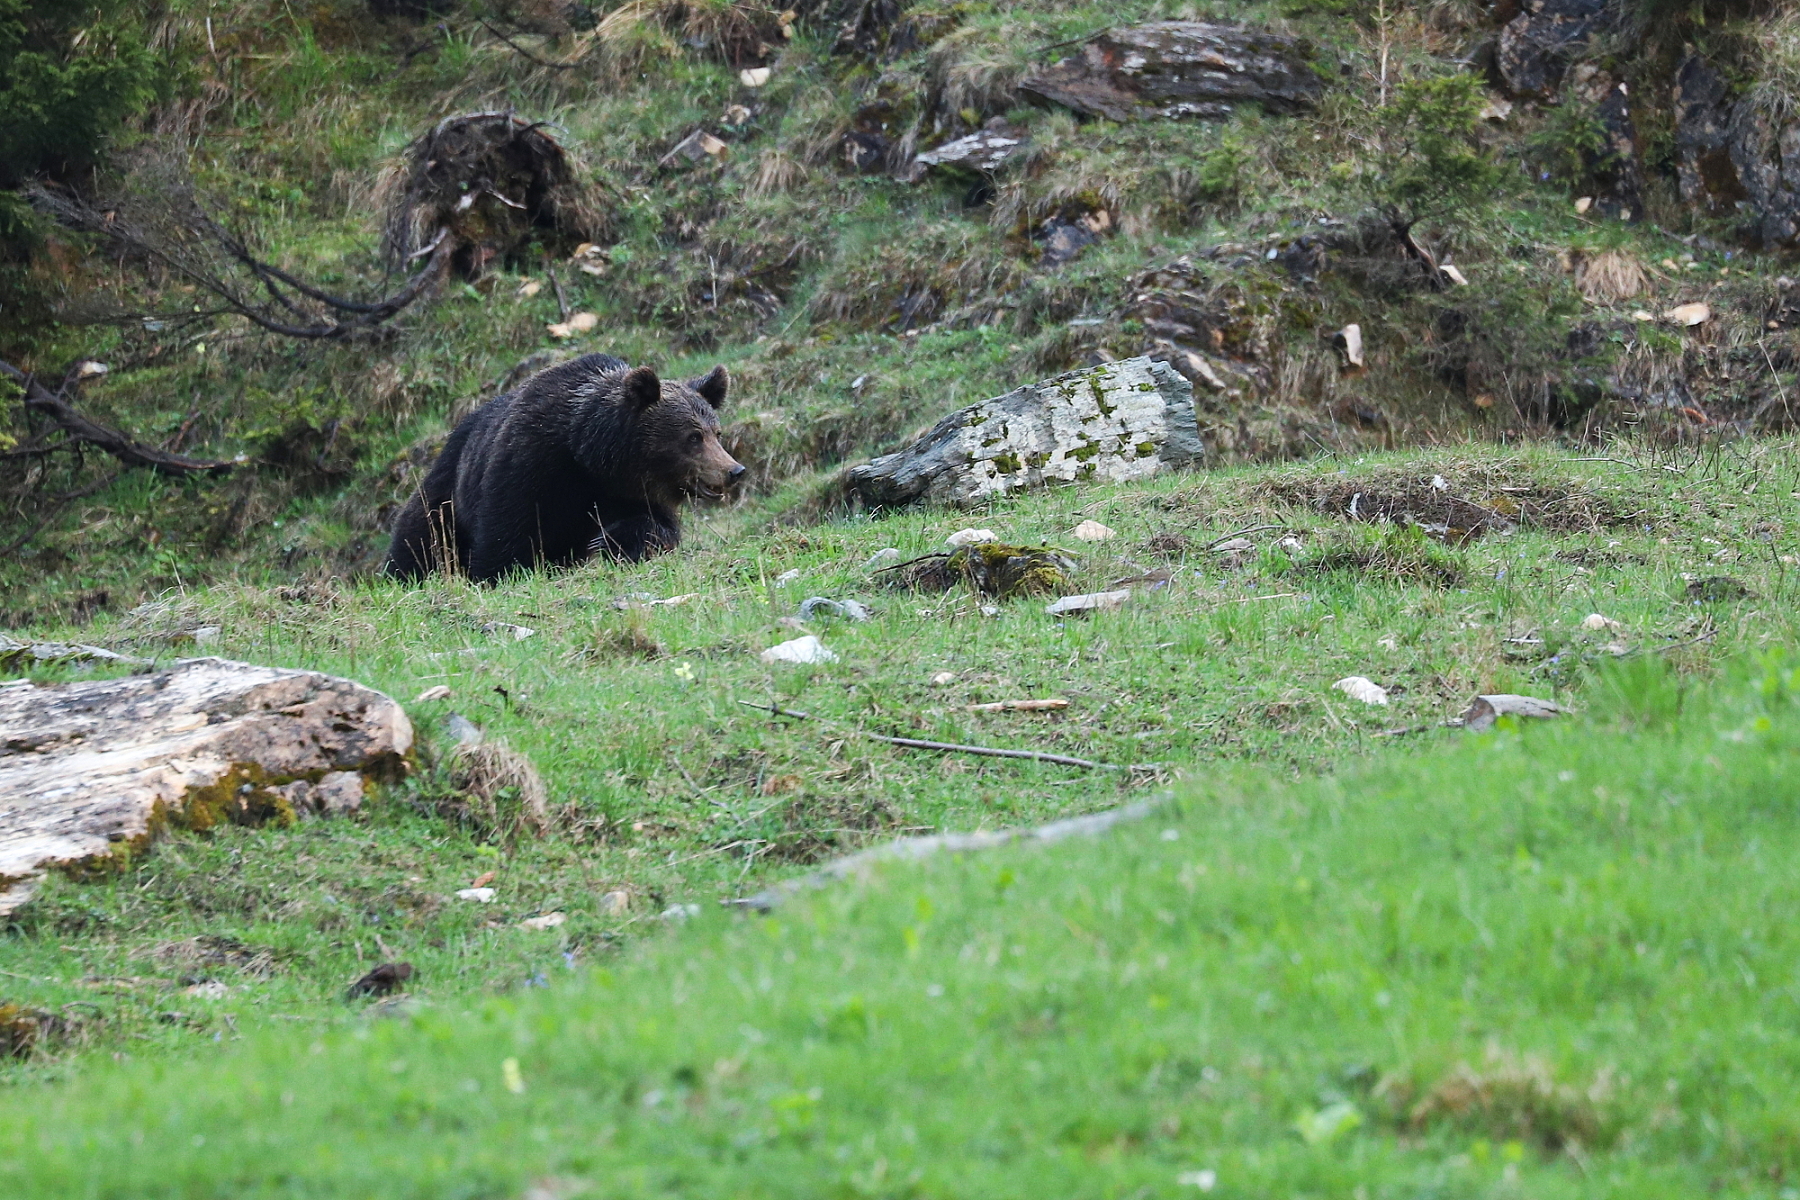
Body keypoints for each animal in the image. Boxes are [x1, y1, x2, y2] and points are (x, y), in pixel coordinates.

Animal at [383, 354, 741, 582]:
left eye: (717, 432)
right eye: (693, 436)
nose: (734, 470)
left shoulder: (634, 492)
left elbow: (655, 527)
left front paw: (614, 541)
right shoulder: (530, 464)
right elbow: (504, 537)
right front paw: (496, 572)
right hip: (448, 489)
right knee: (420, 535)